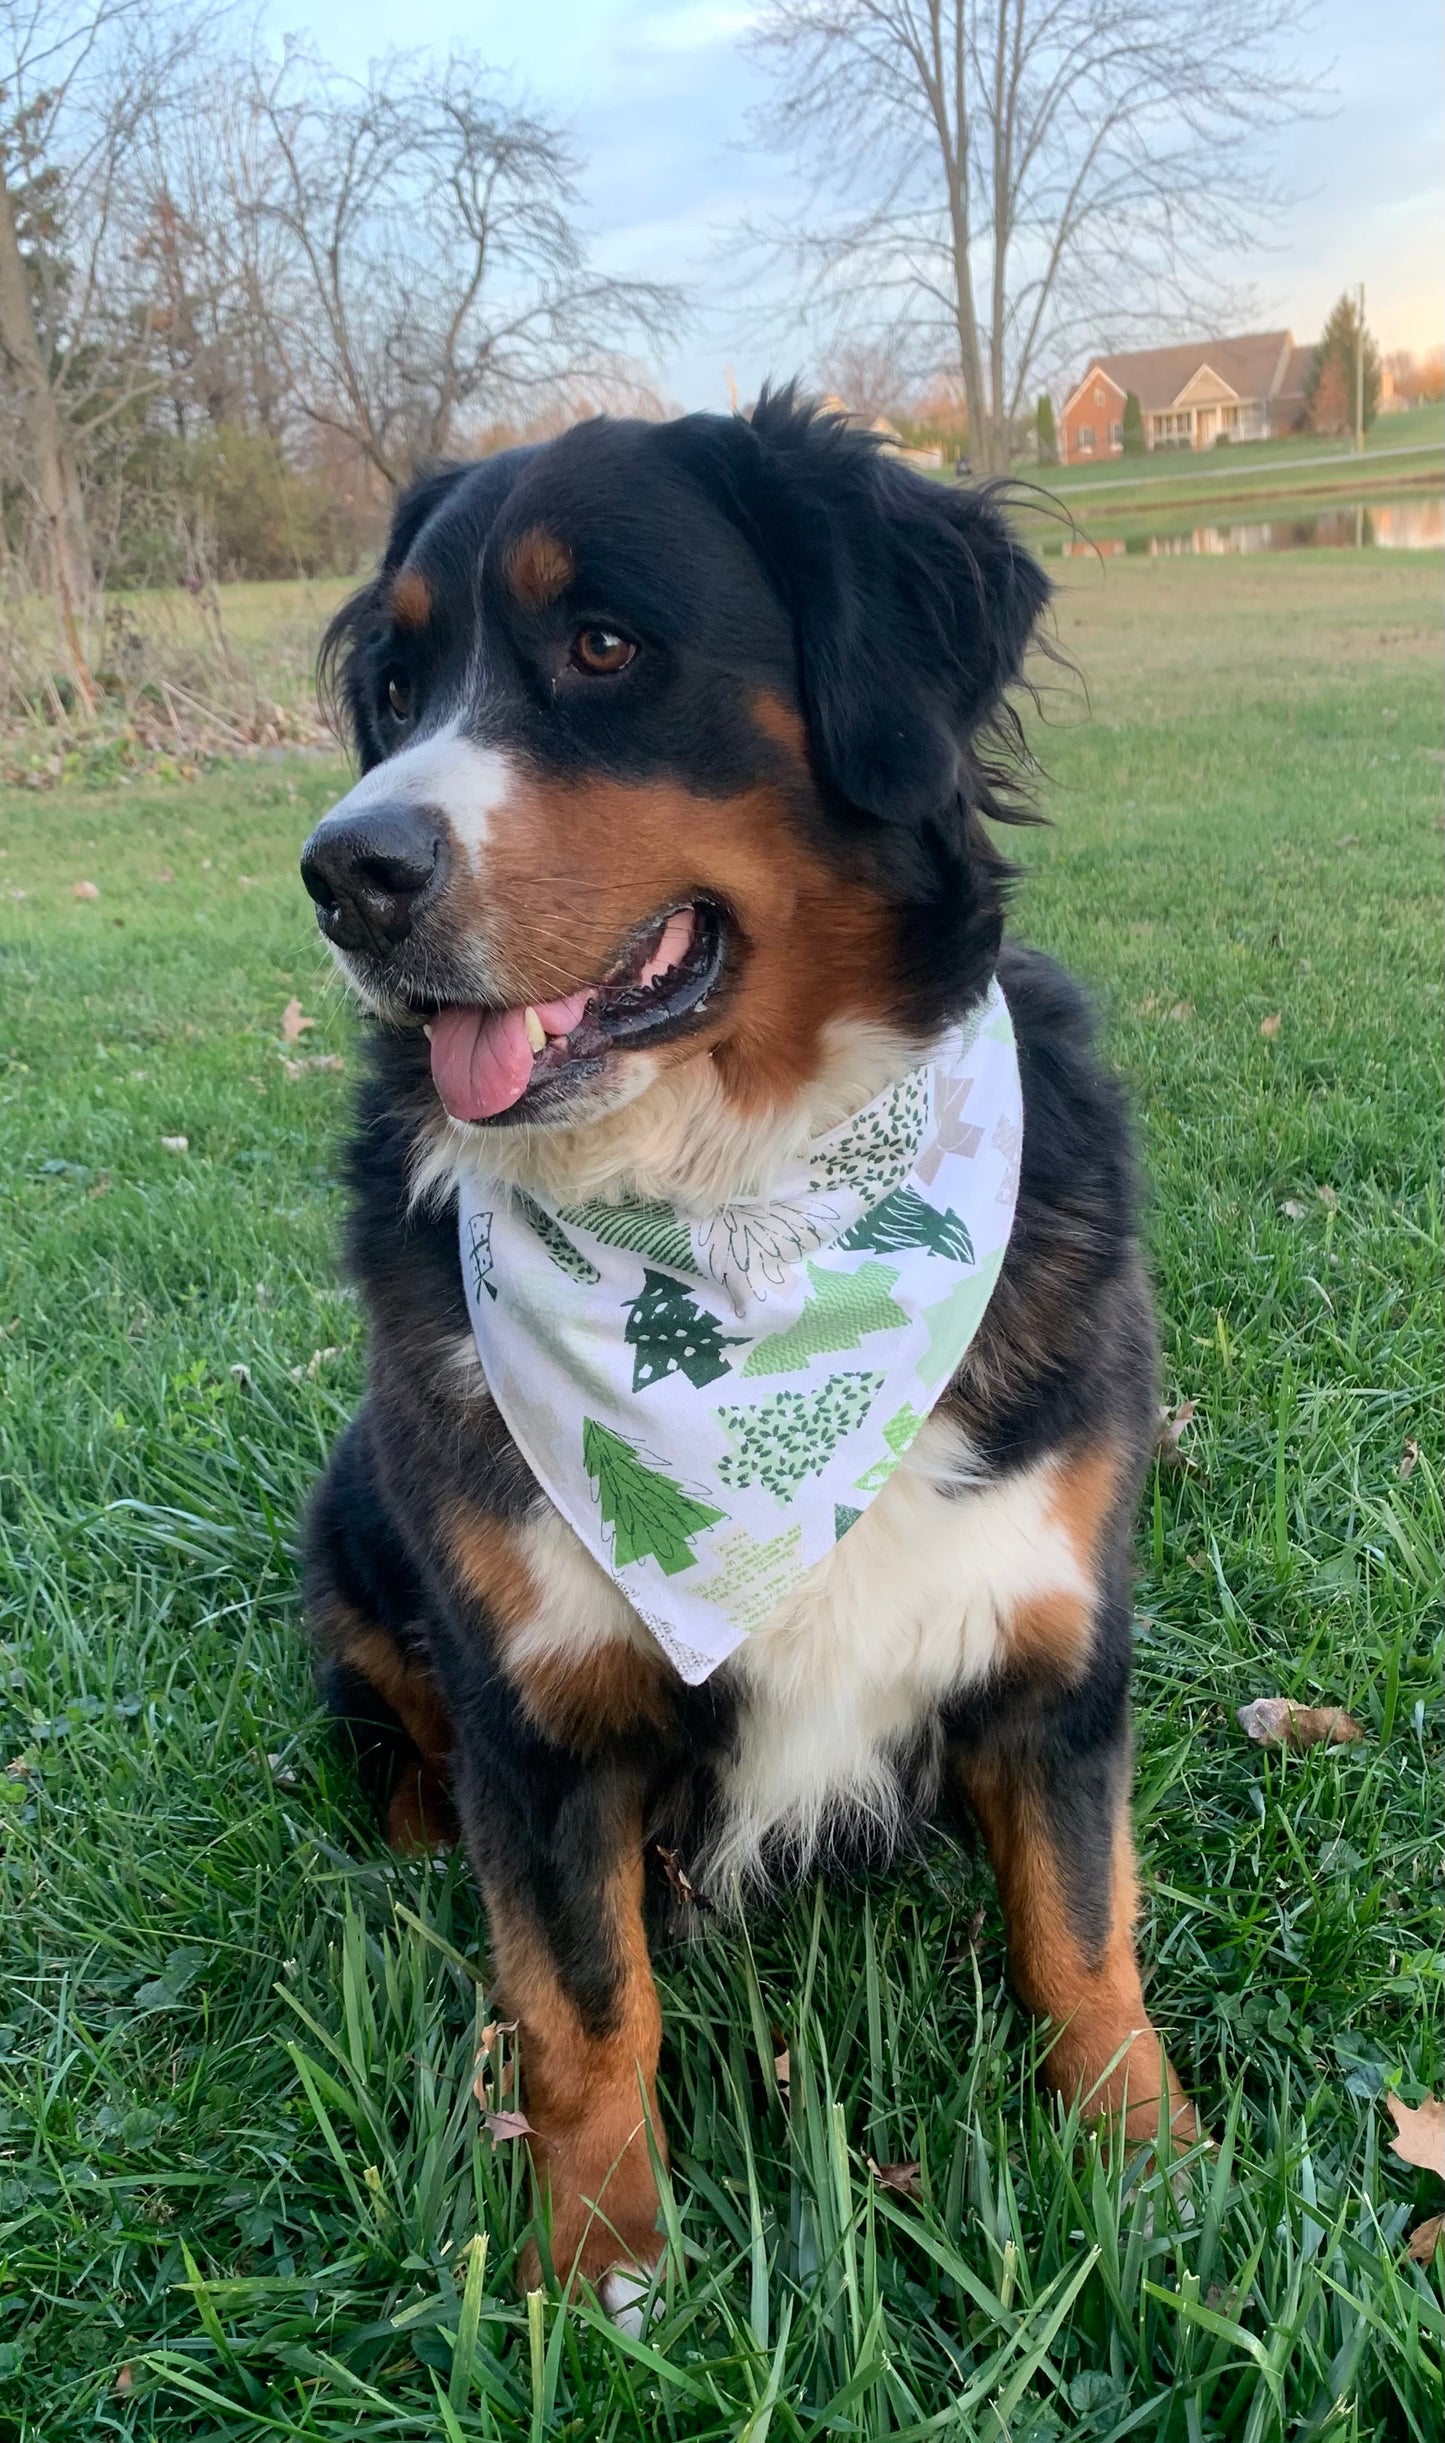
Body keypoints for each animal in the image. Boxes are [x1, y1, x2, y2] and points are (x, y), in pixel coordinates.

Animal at [297, 385, 1198, 2306]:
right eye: (397, 690)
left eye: (604, 644)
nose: (346, 873)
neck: (744, 1226)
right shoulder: (540, 1722)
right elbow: (583, 2008)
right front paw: (601, 2265)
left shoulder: (1058, 1648)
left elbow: (1082, 1932)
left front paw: (1157, 2175)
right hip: (350, 1512)